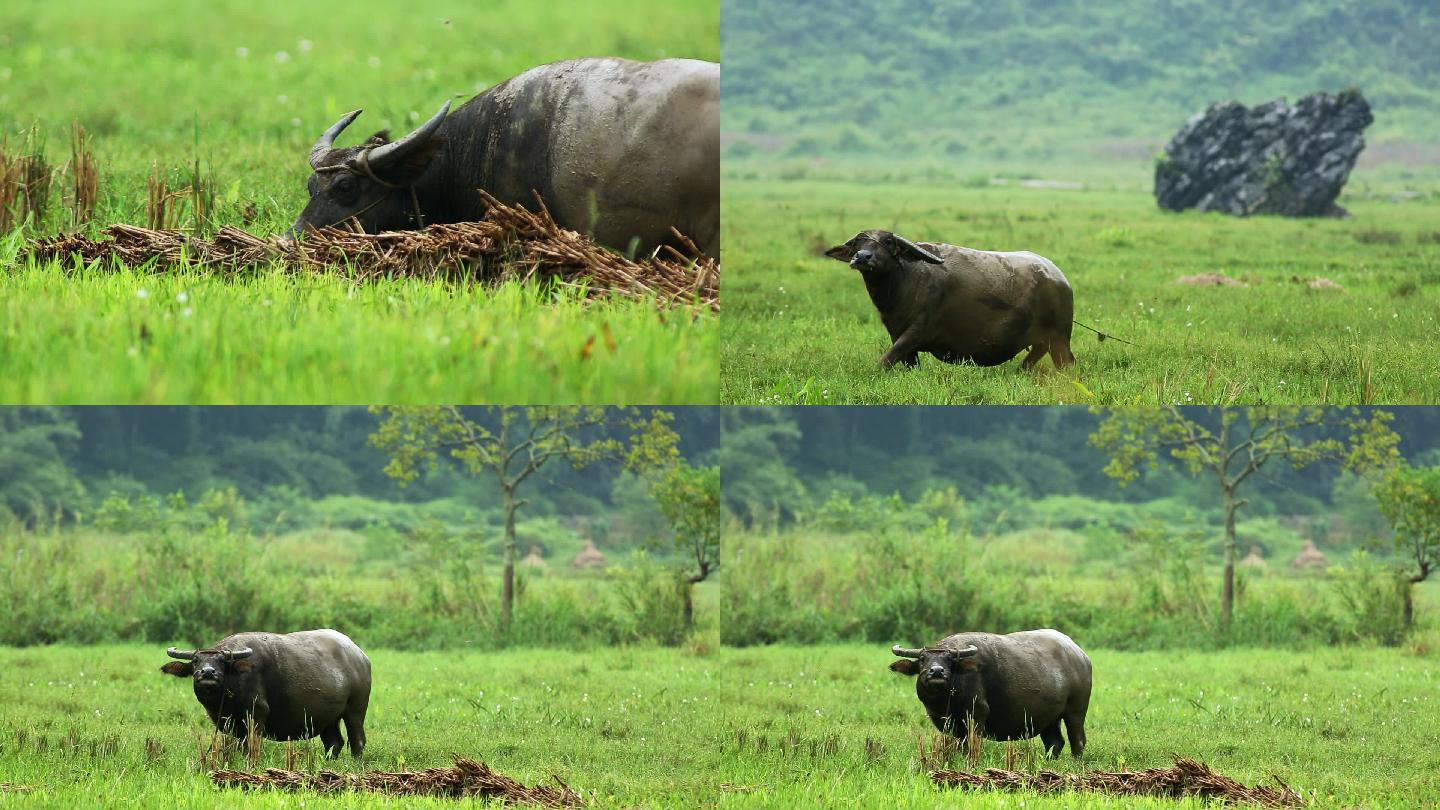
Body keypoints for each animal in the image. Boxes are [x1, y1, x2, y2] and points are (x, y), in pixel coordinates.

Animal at [159, 628, 371, 755]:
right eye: (196, 661)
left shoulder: (256, 715)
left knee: (357, 741)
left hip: (356, 710)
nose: (208, 673)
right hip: (328, 718)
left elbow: (251, 747)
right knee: (334, 743)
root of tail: (360, 656)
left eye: (222, 661)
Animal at [829, 230, 1077, 368]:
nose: (862, 257)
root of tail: (1060, 279)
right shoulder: (899, 337)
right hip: (1044, 340)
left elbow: (884, 362)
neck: (906, 280)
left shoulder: (916, 331)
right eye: (858, 243)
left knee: (1067, 364)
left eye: (888, 242)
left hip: (1060, 338)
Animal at [887, 628, 1088, 755]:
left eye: (949, 659)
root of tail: (1081, 655)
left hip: (1076, 711)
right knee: (1055, 743)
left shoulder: (977, 714)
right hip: (1049, 719)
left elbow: (972, 745)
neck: (946, 700)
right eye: (922, 659)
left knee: (1078, 741)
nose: (937, 671)